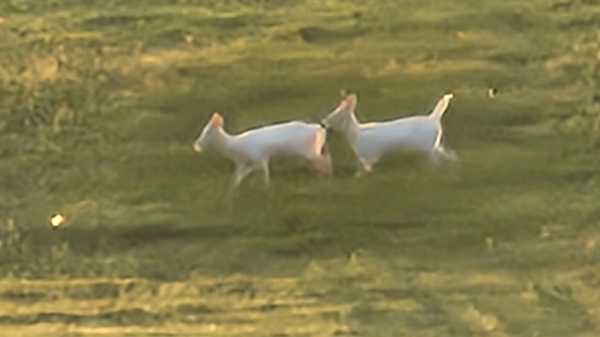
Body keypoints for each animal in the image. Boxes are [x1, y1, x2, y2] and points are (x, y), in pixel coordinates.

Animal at [193, 112, 330, 190]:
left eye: (207, 133)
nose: (196, 146)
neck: (234, 148)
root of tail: (319, 129)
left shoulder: (259, 157)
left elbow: (264, 174)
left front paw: (267, 188)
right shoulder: (243, 164)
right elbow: (237, 178)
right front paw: (231, 192)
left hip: (310, 151)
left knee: (325, 160)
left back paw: (326, 178)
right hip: (313, 151)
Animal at [324, 93, 454, 175]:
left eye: (335, 116)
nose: (323, 123)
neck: (356, 134)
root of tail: (434, 119)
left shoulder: (369, 156)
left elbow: (366, 169)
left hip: (428, 148)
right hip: (433, 146)